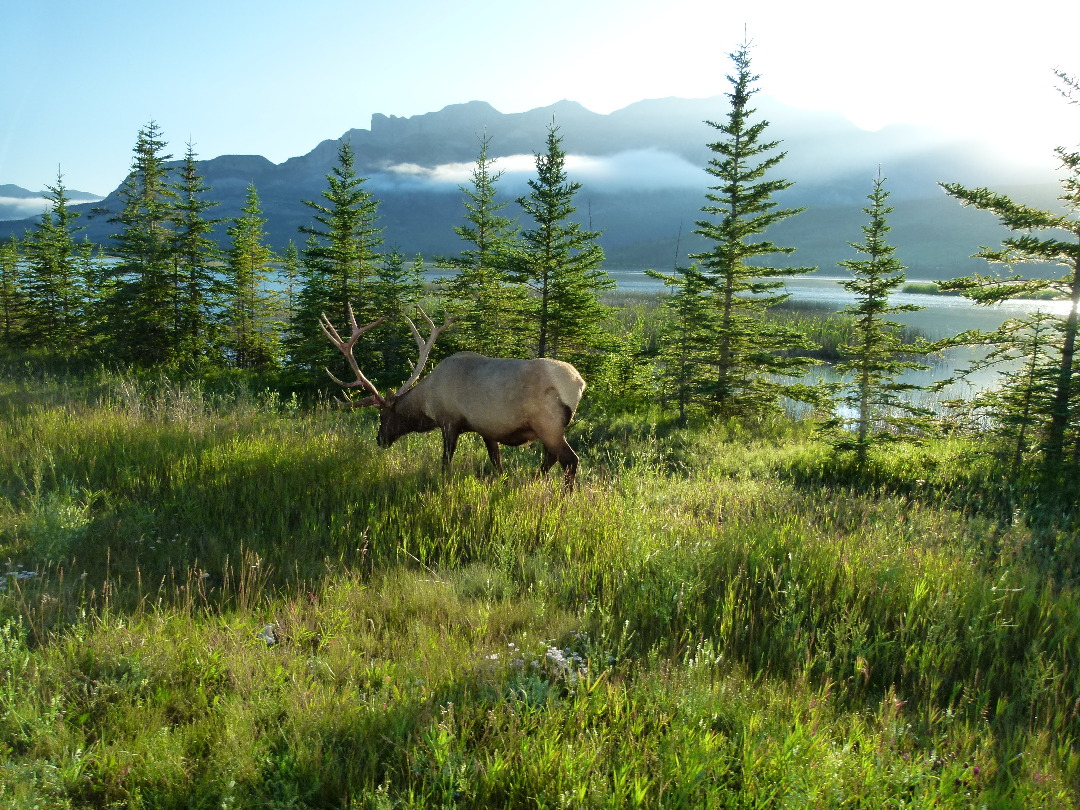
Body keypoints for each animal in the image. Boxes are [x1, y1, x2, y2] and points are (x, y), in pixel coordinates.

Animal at [317, 304, 587, 488]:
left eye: (383, 417)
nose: (379, 439)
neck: (427, 403)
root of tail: (579, 384)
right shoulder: (486, 429)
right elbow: (496, 461)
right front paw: (501, 480)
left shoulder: (449, 421)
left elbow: (446, 461)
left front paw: (443, 481)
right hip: (551, 428)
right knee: (551, 458)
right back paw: (532, 480)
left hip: (548, 424)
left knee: (569, 460)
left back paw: (564, 496)